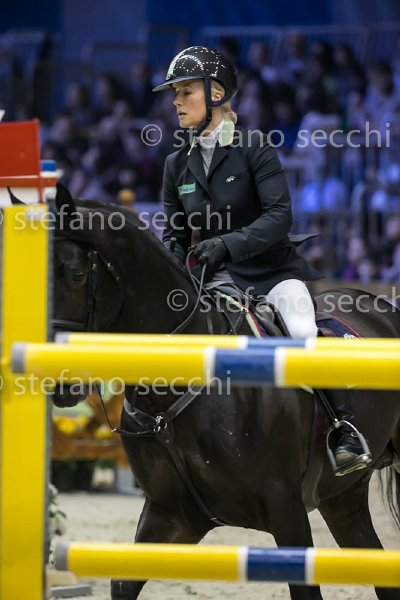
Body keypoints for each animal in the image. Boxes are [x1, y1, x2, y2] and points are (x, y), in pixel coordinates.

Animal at [50, 184, 400, 600]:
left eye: (75, 275)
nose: (58, 381)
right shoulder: (172, 515)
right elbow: (122, 583)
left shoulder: (286, 507)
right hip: (342, 500)